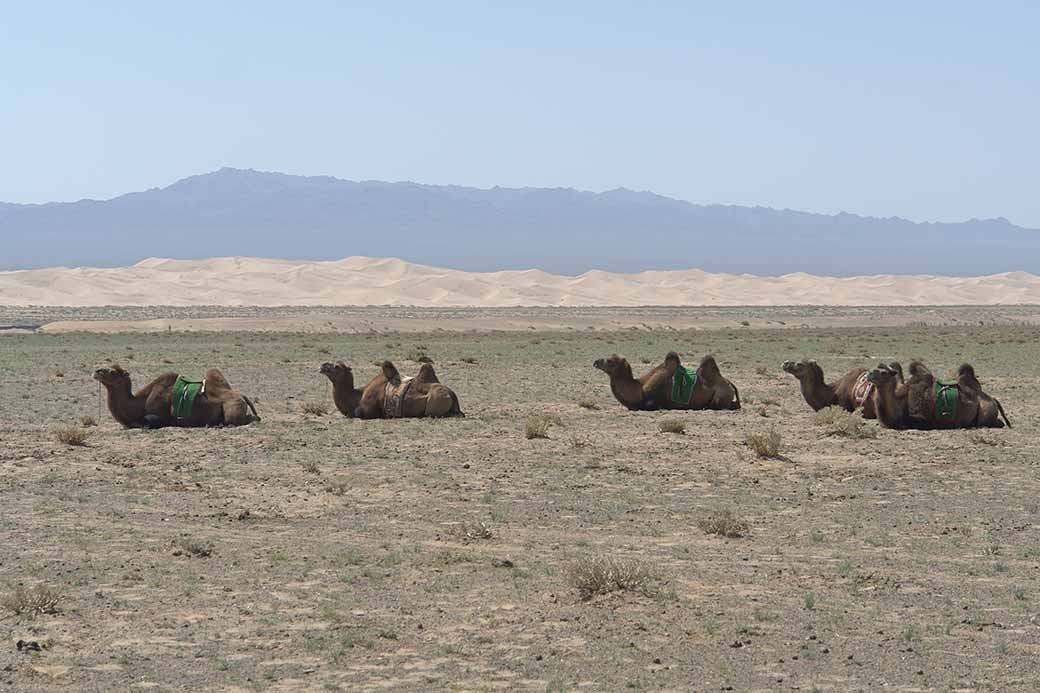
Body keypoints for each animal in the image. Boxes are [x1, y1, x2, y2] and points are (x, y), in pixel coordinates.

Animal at [93, 364, 259, 428]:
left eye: (112, 372)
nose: (97, 371)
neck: (138, 403)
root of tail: (242, 395)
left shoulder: (159, 414)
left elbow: (148, 421)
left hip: (232, 407)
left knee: (238, 420)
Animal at [593, 352, 740, 411]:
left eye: (610, 361)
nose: (596, 361)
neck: (638, 388)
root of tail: (729, 384)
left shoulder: (651, 402)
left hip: (719, 398)